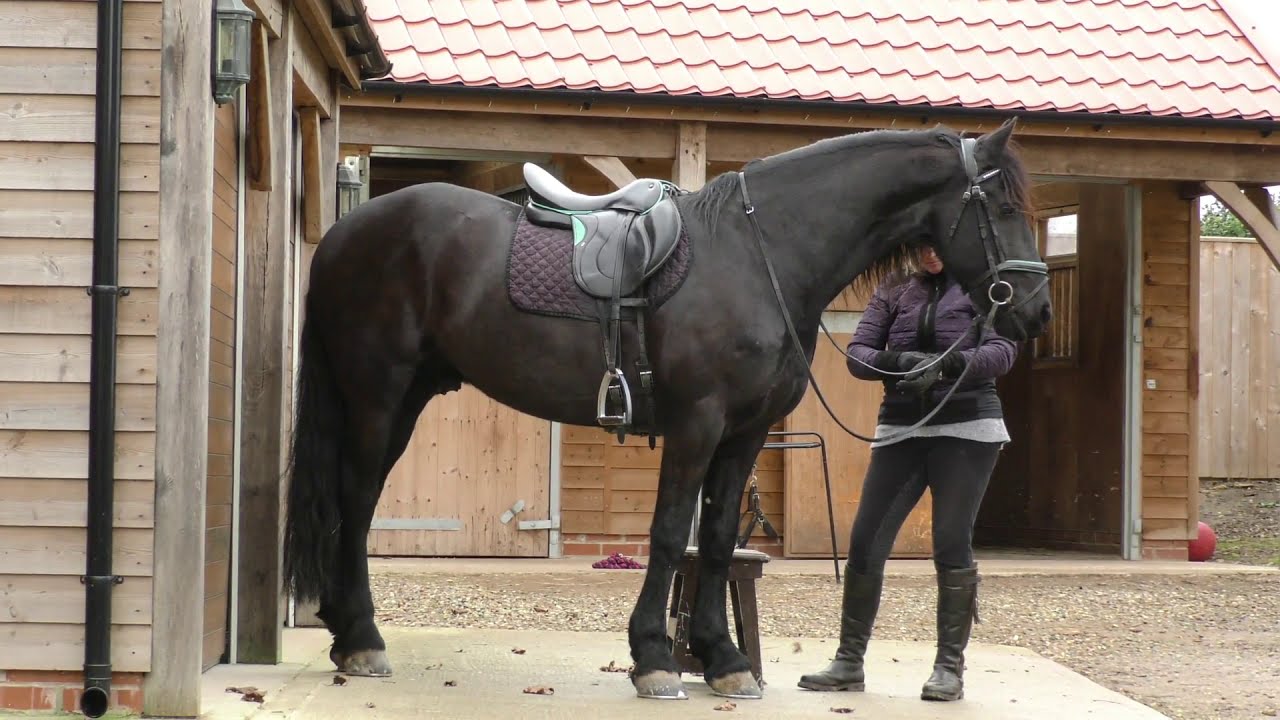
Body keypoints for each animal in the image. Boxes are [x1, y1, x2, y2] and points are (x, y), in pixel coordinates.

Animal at [281, 117, 1052, 701]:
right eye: (1003, 208)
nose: (1036, 313)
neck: (762, 254)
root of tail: (348, 233)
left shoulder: (743, 433)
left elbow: (715, 537)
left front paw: (722, 659)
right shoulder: (696, 423)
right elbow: (668, 531)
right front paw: (655, 657)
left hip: (406, 398)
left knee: (357, 501)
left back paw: (346, 631)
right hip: (377, 394)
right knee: (355, 502)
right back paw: (362, 640)